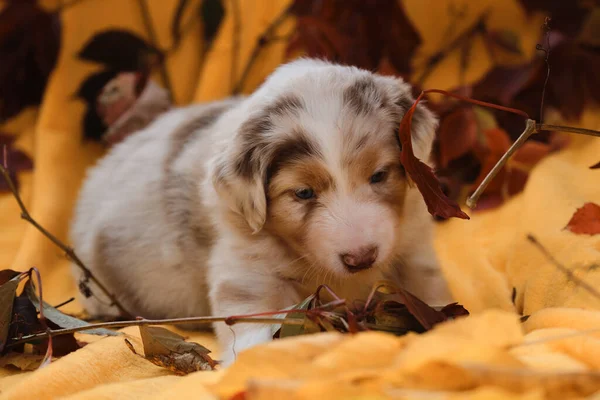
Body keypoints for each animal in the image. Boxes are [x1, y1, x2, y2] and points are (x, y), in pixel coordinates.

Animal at [70, 57, 452, 366]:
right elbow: (258, 323)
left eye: (379, 175)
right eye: (303, 192)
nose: (361, 258)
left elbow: (427, 288)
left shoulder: (411, 244)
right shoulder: (247, 268)